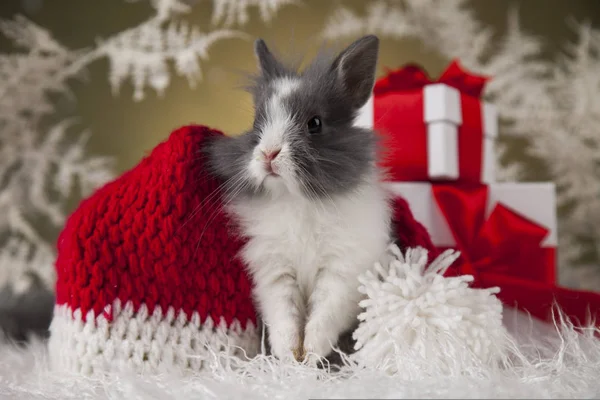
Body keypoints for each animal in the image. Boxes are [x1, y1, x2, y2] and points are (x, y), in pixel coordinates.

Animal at [206, 35, 394, 366]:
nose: (268, 153)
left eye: (315, 123)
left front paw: (310, 354)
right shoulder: (276, 273)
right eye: (257, 123)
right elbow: (284, 318)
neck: (297, 199)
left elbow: (324, 316)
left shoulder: (341, 273)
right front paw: (289, 356)